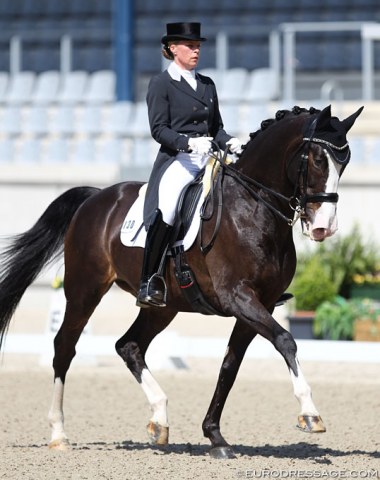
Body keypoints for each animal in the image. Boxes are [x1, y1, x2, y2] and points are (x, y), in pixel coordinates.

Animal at [0, 104, 362, 458]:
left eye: (344, 162)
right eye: (317, 159)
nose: (324, 227)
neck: (253, 208)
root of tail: (97, 197)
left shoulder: (263, 304)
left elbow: (230, 366)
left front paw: (215, 436)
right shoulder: (238, 297)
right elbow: (286, 340)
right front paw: (310, 414)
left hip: (162, 306)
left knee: (128, 345)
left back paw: (159, 419)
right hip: (83, 291)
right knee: (64, 347)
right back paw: (59, 434)